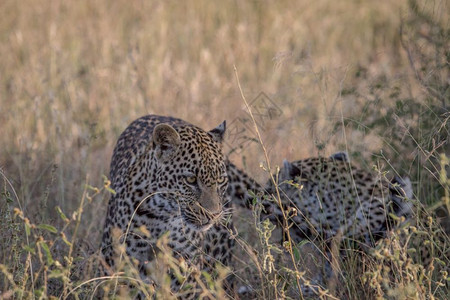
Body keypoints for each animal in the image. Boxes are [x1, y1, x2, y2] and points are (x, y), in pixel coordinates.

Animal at [100, 114, 234, 298]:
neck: (161, 215)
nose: (213, 215)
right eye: (191, 179)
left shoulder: (185, 265)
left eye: (220, 180)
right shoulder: (117, 260)